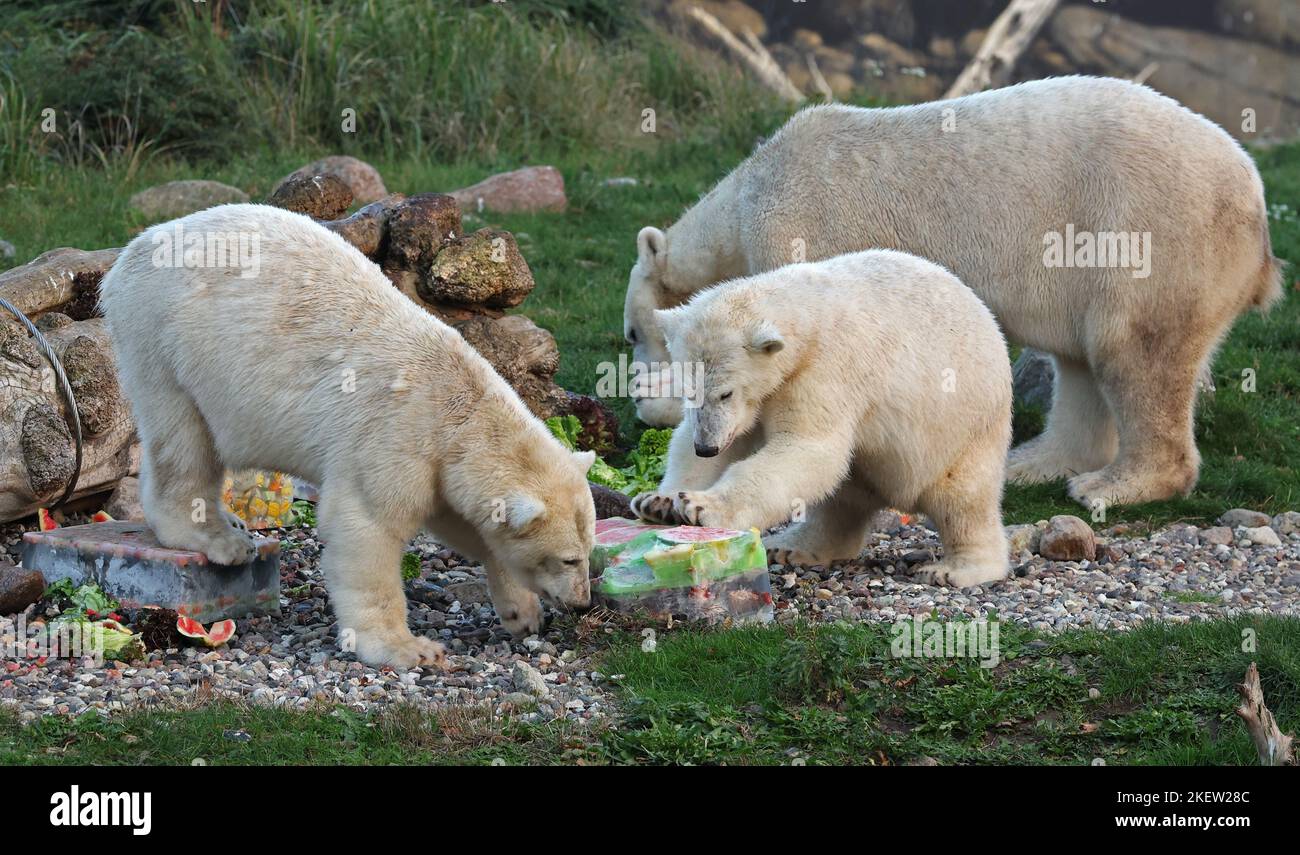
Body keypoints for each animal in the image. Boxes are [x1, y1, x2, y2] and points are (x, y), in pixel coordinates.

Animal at [98, 205, 595, 665]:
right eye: (570, 558)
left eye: (589, 548)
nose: (582, 602)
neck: (458, 407)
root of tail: (133, 249)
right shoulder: (395, 434)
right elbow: (366, 527)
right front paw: (408, 648)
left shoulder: (439, 462)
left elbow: (462, 521)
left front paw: (523, 611)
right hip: (163, 337)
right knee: (184, 439)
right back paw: (218, 537)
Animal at [624, 75, 1284, 506]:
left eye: (631, 333)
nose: (637, 391)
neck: (748, 198)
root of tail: (1255, 201)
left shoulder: (798, 231)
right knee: (1080, 361)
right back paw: (1031, 463)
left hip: (1146, 234)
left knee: (1135, 350)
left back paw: (1110, 486)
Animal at [629, 249, 1013, 589]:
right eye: (688, 390)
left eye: (726, 393)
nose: (706, 446)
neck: (807, 313)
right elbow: (711, 442)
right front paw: (661, 503)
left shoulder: (824, 369)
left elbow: (807, 448)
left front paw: (700, 506)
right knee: (842, 498)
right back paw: (793, 546)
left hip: (963, 428)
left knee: (962, 498)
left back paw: (954, 569)